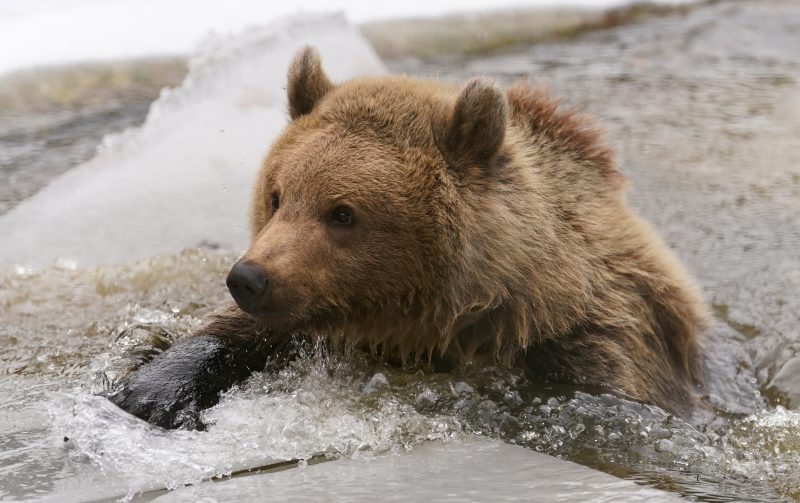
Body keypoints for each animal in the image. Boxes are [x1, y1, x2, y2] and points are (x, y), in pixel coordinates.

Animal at [108, 47, 708, 432]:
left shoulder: (596, 352)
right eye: (276, 196)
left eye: (342, 213)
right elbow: (227, 338)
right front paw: (152, 391)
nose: (249, 278)